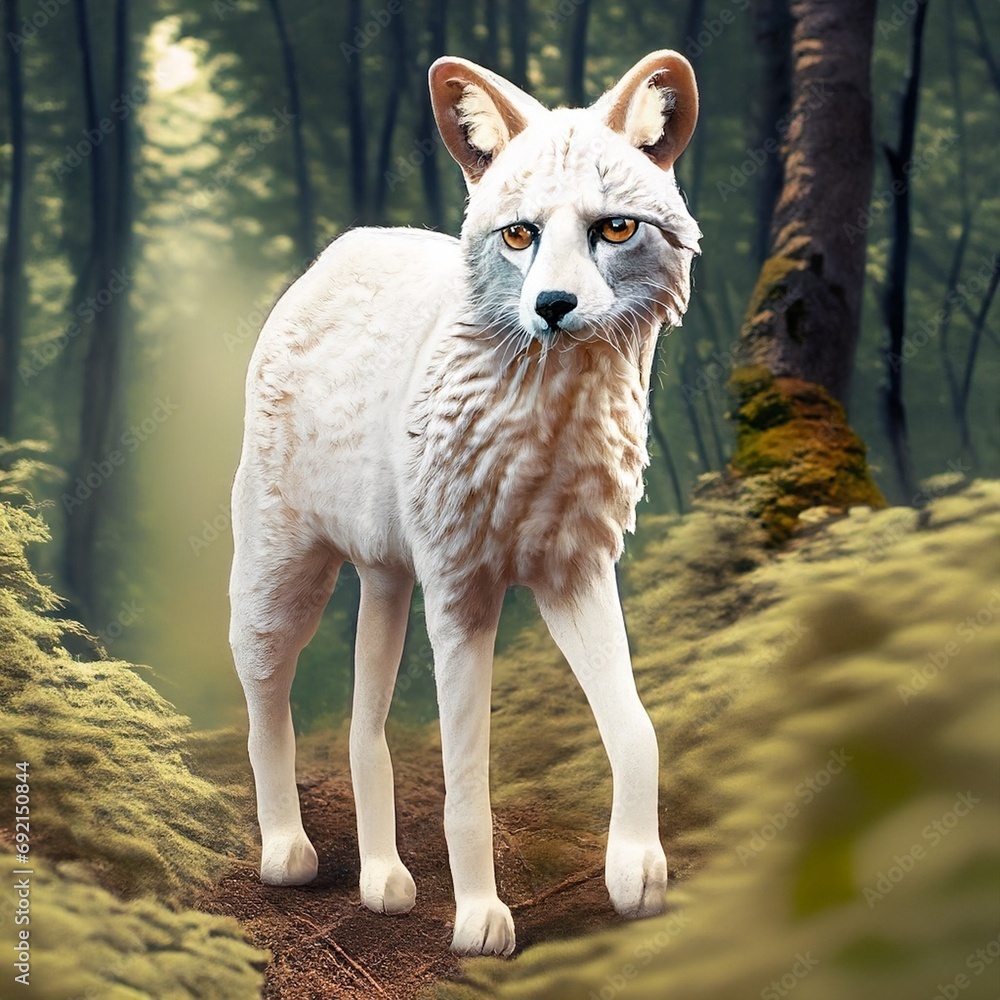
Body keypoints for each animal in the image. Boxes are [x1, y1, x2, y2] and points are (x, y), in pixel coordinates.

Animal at [229, 50, 700, 956]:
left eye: (614, 229)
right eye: (520, 235)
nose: (553, 308)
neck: (549, 422)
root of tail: (337, 252)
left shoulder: (575, 574)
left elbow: (639, 730)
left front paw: (638, 873)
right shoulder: (460, 596)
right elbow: (466, 778)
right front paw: (481, 919)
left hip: (386, 578)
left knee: (362, 729)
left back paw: (383, 881)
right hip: (283, 580)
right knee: (263, 698)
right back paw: (287, 852)